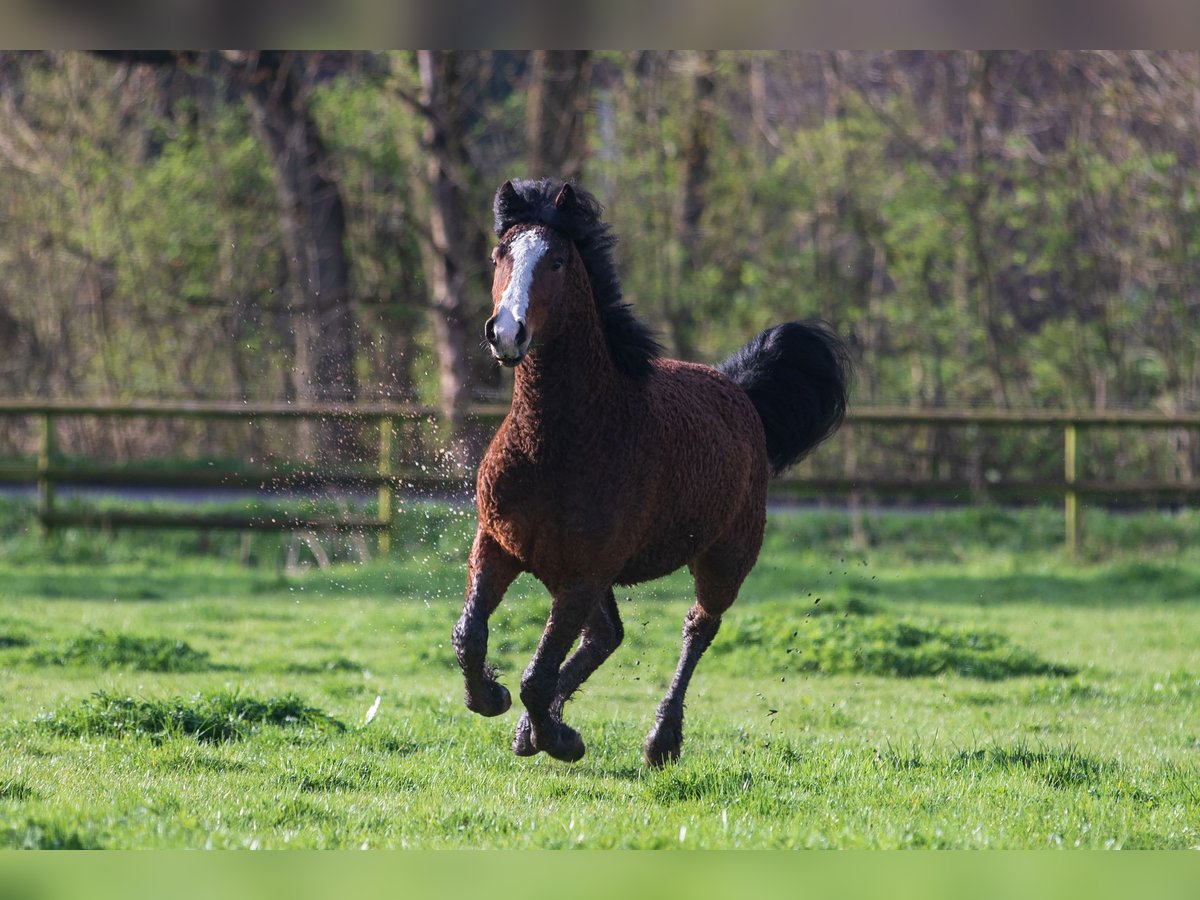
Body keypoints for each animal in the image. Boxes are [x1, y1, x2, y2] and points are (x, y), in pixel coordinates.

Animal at [451, 177, 854, 768]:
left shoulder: (583, 574)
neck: (560, 443)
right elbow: (470, 636)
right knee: (606, 637)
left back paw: (660, 739)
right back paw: (534, 729)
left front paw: (560, 740)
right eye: (499, 254)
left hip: (725, 558)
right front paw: (495, 700)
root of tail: (739, 393)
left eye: (556, 261)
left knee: (697, 628)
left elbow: (536, 675)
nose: (507, 332)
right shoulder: (499, 544)